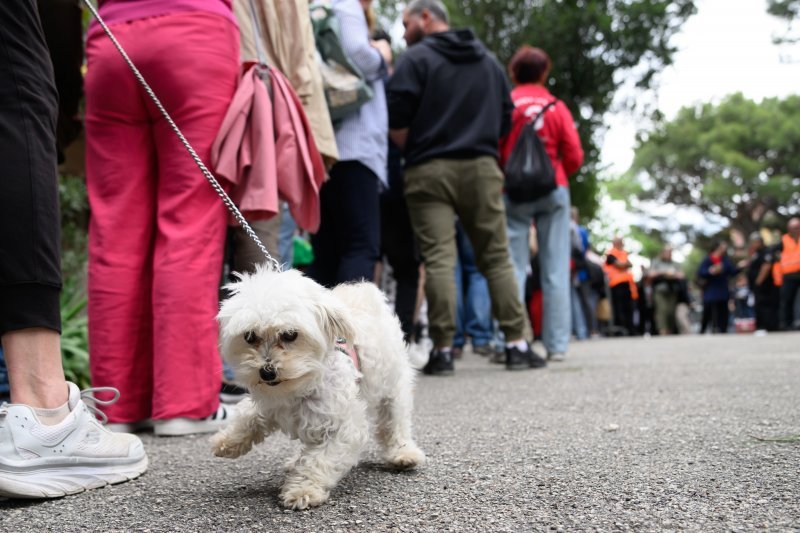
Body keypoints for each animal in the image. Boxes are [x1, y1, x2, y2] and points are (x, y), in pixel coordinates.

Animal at [211, 268, 424, 510]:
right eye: (249, 336)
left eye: (290, 334)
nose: (267, 372)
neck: (299, 387)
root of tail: (363, 288)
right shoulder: (270, 403)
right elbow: (248, 415)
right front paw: (227, 441)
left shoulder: (343, 427)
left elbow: (319, 460)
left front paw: (302, 490)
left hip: (393, 384)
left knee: (395, 421)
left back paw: (404, 452)